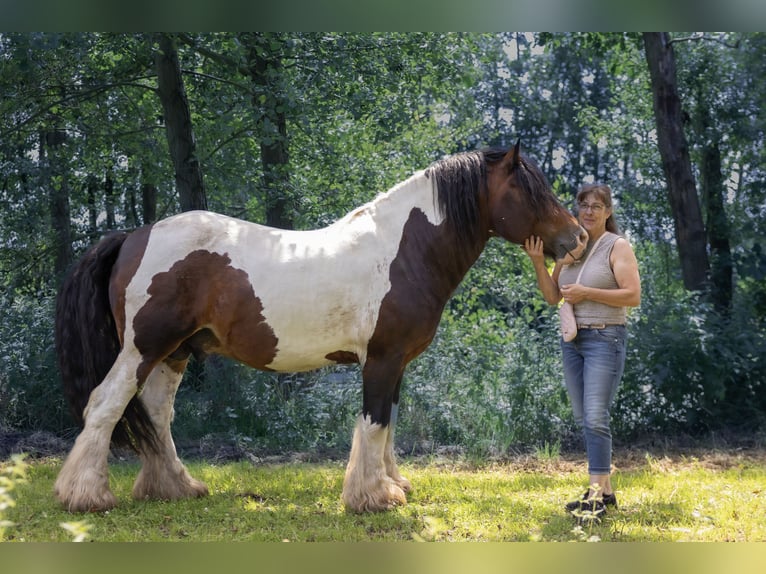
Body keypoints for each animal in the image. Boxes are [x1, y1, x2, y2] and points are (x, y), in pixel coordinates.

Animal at [53, 142, 587, 513]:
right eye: (530, 189)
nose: (579, 237)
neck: (403, 251)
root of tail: (134, 235)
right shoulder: (381, 360)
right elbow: (374, 423)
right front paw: (373, 498)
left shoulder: (396, 364)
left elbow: (388, 424)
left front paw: (393, 484)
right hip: (143, 348)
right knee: (106, 405)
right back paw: (85, 496)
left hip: (175, 353)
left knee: (157, 417)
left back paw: (175, 487)